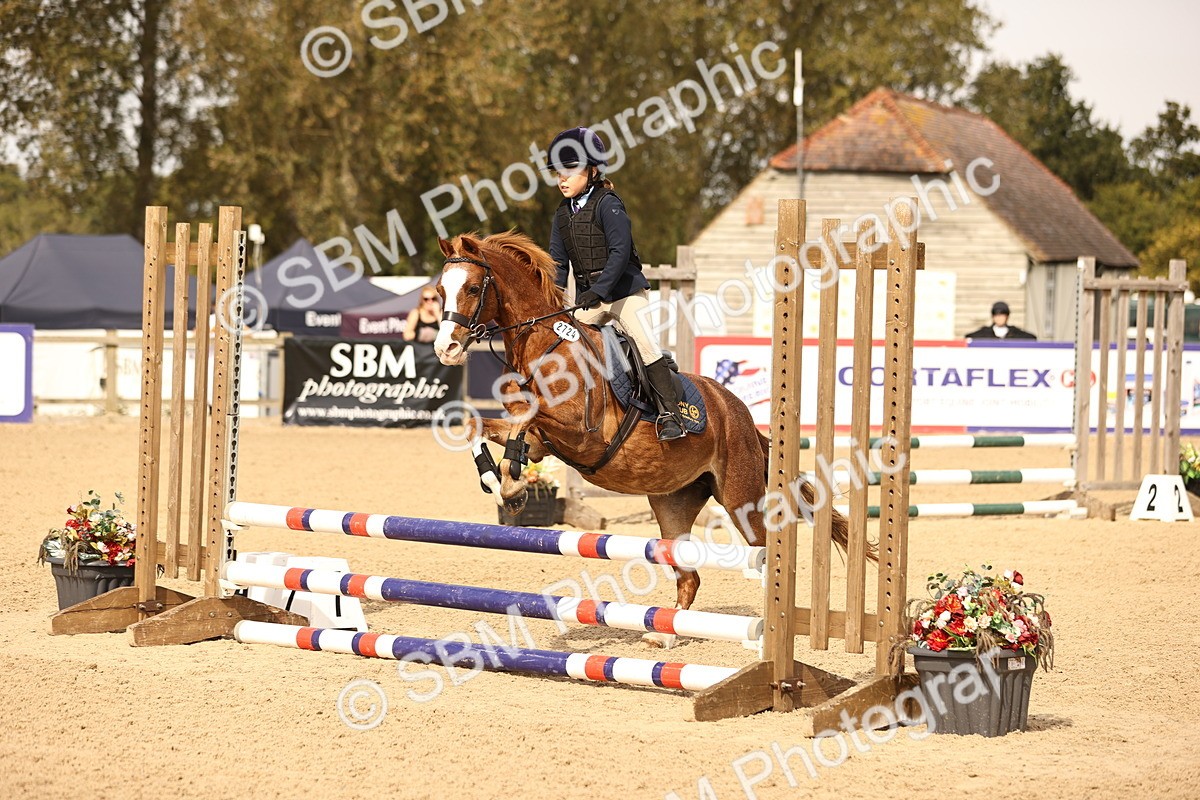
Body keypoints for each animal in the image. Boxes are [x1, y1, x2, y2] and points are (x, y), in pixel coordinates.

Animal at [433, 230, 855, 647]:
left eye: (473, 288)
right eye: (440, 289)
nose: (446, 349)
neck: (544, 348)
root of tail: (742, 414)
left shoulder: (581, 433)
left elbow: (526, 417)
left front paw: (512, 487)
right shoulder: (542, 441)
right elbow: (480, 425)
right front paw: (500, 483)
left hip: (740, 496)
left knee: (765, 552)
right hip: (673, 502)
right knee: (689, 574)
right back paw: (665, 635)